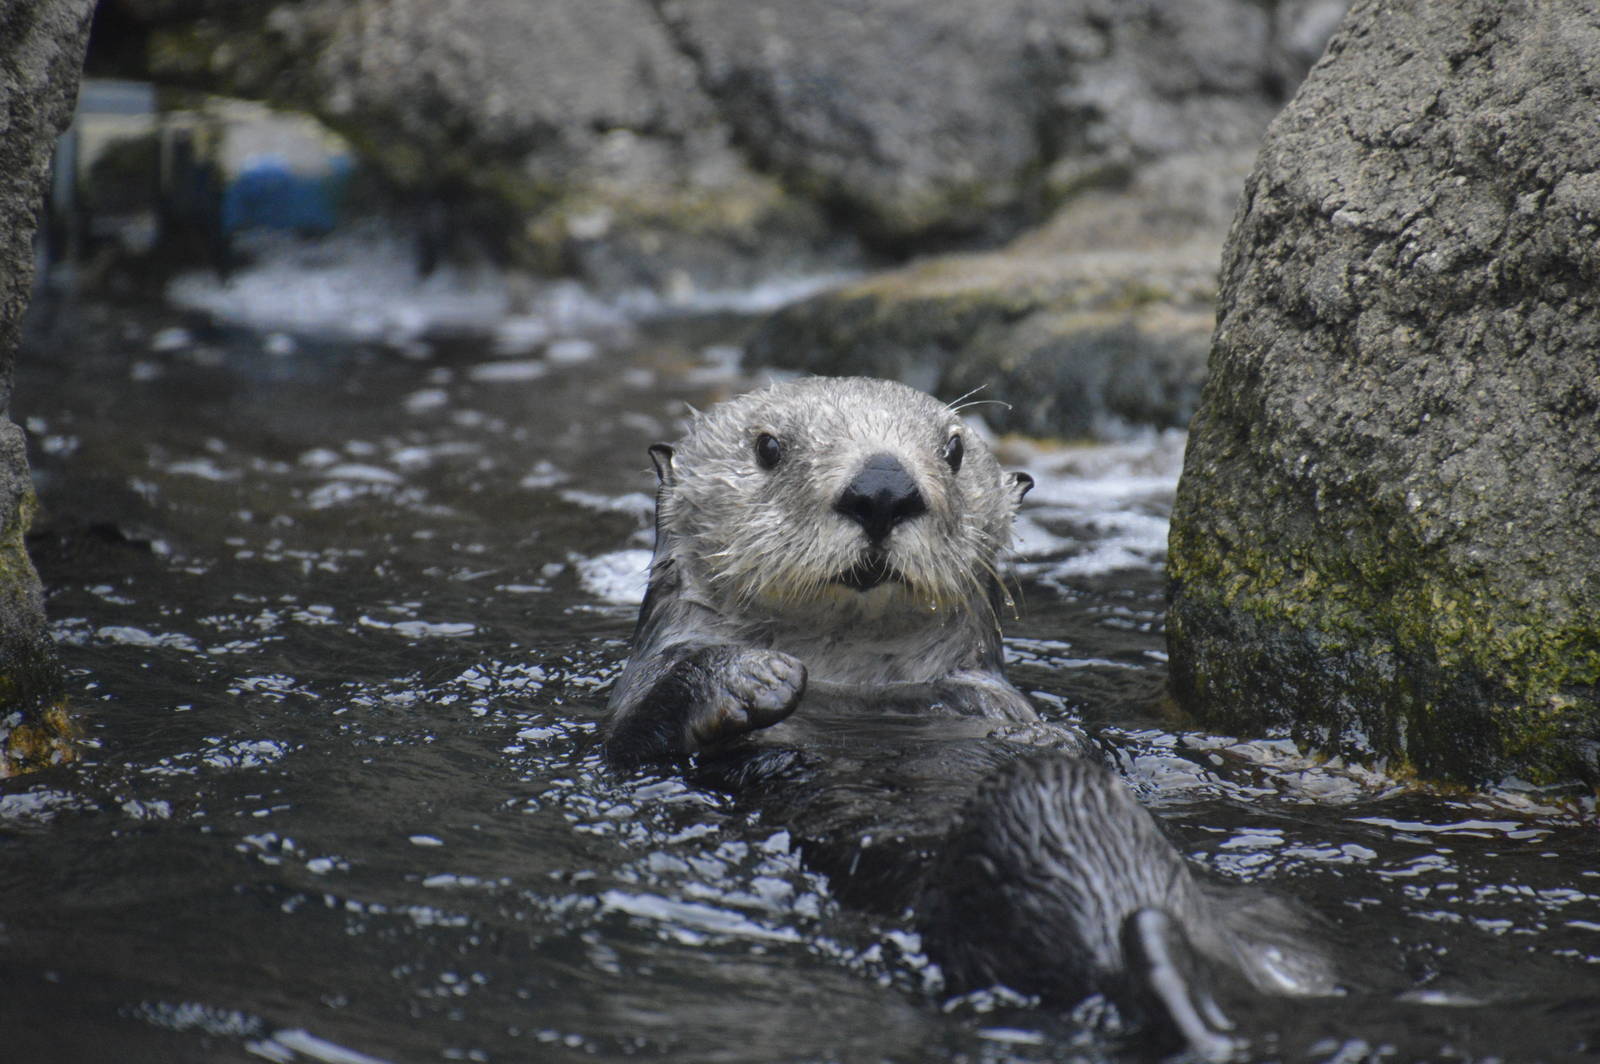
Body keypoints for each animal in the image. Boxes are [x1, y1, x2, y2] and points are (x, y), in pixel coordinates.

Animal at [600, 376, 1334, 1052]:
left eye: (952, 450)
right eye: (768, 447)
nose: (883, 486)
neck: (851, 675)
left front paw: (1038, 729)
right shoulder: (630, 713)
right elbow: (634, 733)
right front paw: (755, 676)